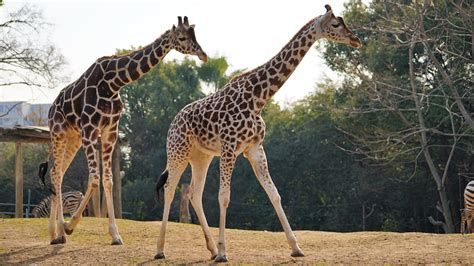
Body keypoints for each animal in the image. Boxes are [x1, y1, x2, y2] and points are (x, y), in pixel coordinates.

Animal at [41, 16, 208, 245]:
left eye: (195, 35)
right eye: (182, 37)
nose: (203, 55)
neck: (113, 83)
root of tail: (51, 107)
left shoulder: (110, 130)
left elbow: (108, 180)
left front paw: (115, 235)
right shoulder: (89, 129)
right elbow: (95, 179)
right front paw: (69, 225)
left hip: (73, 138)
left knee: (57, 172)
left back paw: (53, 233)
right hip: (58, 133)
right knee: (56, 174)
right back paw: (60, 232)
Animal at [154, 4, 362, 262]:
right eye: (335, 24)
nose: (356, 39)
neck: (258, 98)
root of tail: (172, 123)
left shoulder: (254, 148)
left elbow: (274, 194)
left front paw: (296, 247)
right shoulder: (230, 147)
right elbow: (224, 196)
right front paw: (224, 252)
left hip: (201, 157)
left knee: (194, 193)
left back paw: (210, 249)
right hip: (178, 151)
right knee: (169, 189)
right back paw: (161, 250)